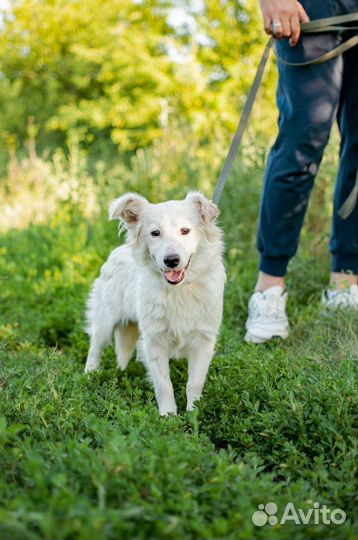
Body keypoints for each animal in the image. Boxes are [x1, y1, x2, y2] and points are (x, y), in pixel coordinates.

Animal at [85, 192, 225, 416]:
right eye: (155, 233)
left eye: (185, 230)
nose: (171, 260)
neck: (179, 290)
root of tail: (118, 251)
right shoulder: (155, 341)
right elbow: (163, 384)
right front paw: (168, 415)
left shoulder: (203, 341)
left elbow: (194, 382)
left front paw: (193, 412)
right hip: (105, 320)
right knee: (95, 346)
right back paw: (90, 375)